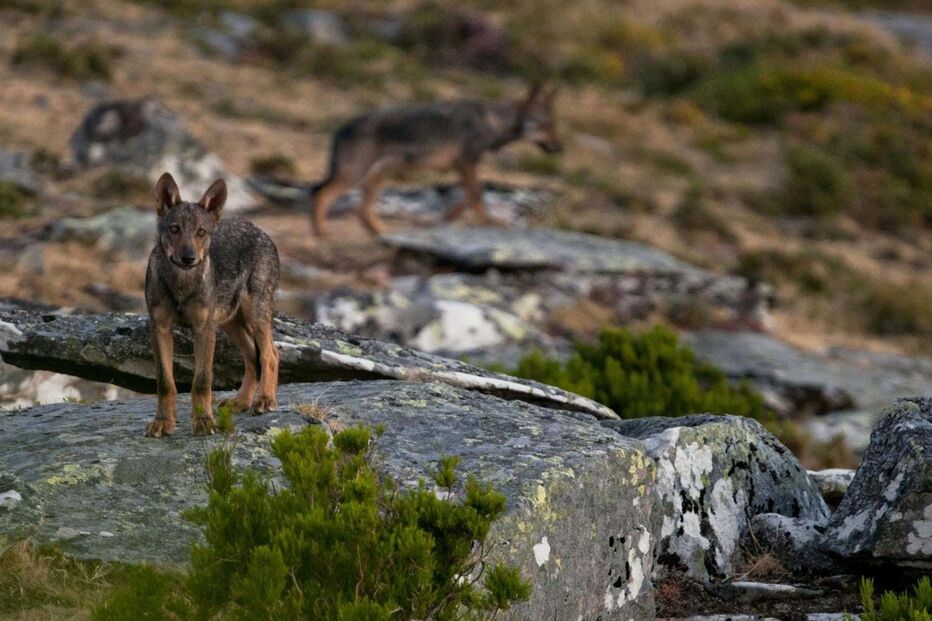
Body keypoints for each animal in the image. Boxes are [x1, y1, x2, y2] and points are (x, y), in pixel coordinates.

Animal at [144, 172, 280, 438]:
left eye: (201, 232)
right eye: (174, 229)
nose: (188, 258)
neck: (182, 285)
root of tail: (259, 229)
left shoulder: (203, 329)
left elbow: (202, 380)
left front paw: (204, 421)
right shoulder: (160, 328)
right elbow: (165, 381)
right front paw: (163, 421)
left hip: (255, 315)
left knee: (270, 354)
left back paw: (264, 400)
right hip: (229, 323)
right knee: (252, 357)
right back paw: (241, 401)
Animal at [309, 84, 562, 236]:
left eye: (553, 126)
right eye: (545, 126)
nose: (560, 148)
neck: (493, 120)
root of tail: (341, 127)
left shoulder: (463, 166)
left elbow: (468, 198)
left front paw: (445, 219)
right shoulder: (466, 163)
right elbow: (476, 196)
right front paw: (493, 223)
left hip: (375, 177)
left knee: (362, 212)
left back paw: (383, 234)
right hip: (354, 176)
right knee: (321, 194)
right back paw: (321, 233)